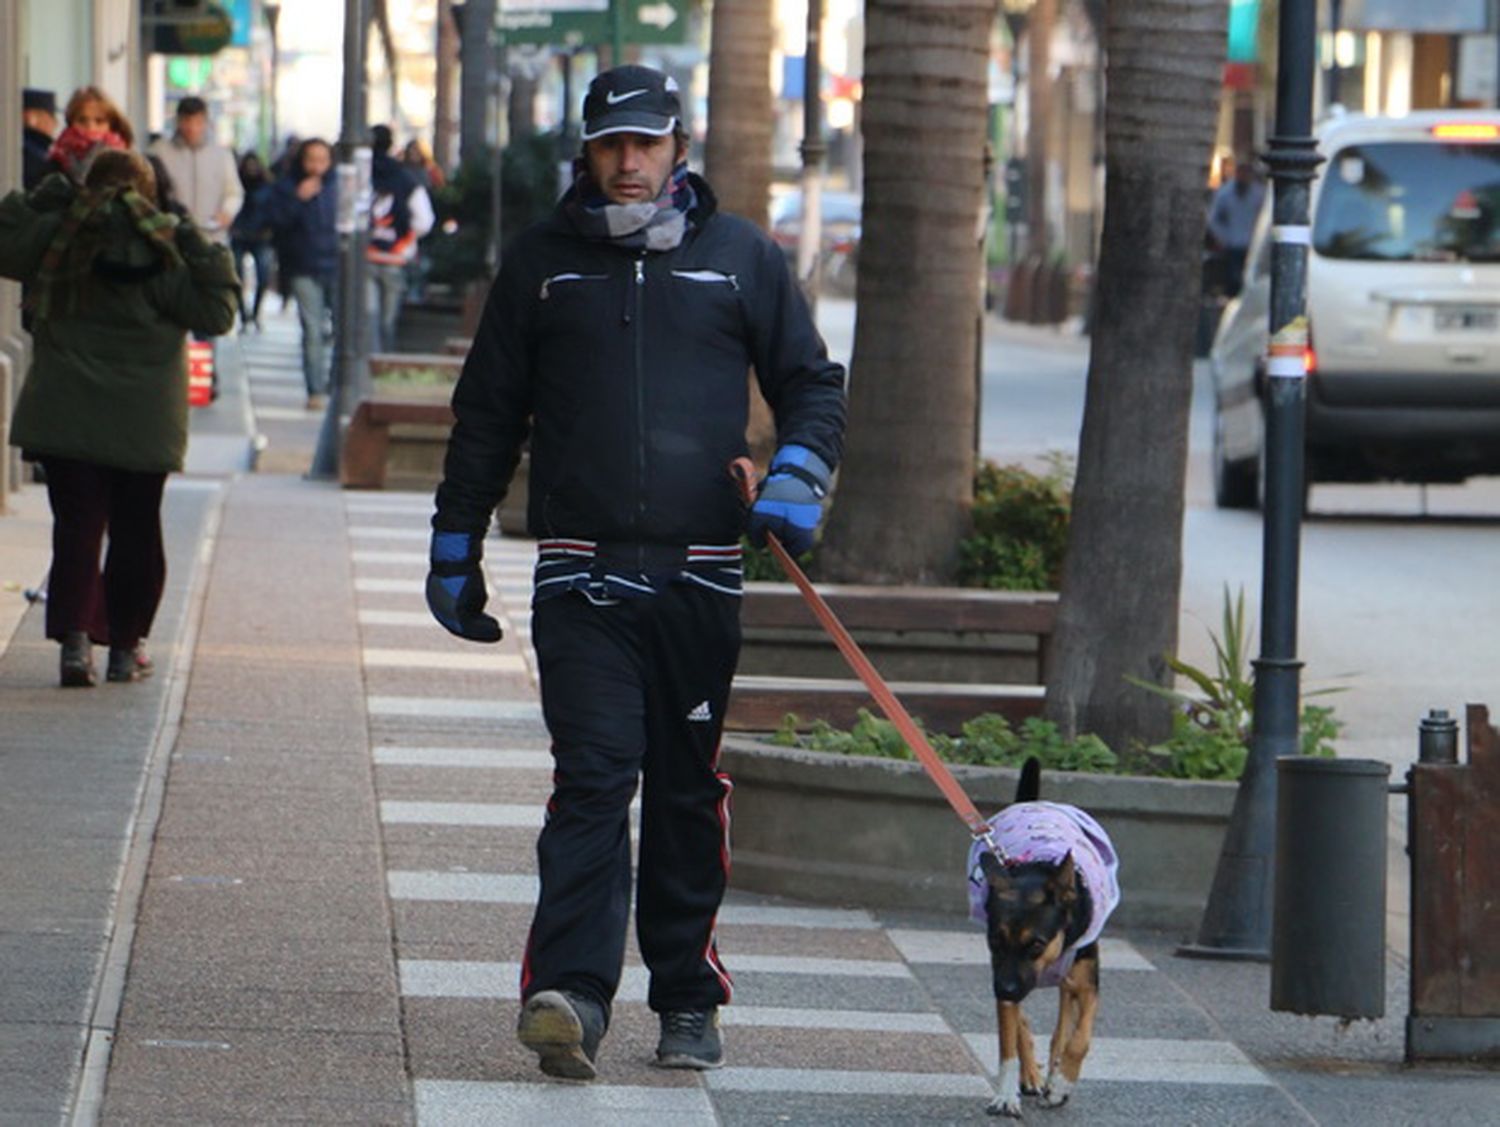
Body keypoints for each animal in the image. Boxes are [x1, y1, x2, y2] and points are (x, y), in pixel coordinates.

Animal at [966, 759, 1122, 1122]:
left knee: (1063, 1023)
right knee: (1025, 1024)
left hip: (1068, 979)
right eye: (994, 940)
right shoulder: (1004, 974)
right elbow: (1008, 1042)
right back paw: (1031, 1076)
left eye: (1036, 943)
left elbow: (1079, 1038)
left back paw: (1054, 1075)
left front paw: (1062, 1083)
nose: (1004, 989)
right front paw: (1006, 1095)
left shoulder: (1087, 983)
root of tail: (1034, 803)